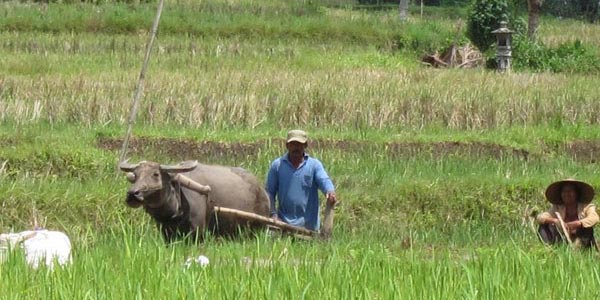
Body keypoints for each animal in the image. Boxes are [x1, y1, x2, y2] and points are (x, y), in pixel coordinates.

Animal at [119, 159, 270, 241]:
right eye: (136, 175)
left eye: (155, 174)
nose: (132, 194)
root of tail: (262, 190)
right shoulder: (166, 233)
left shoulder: (198, 231)